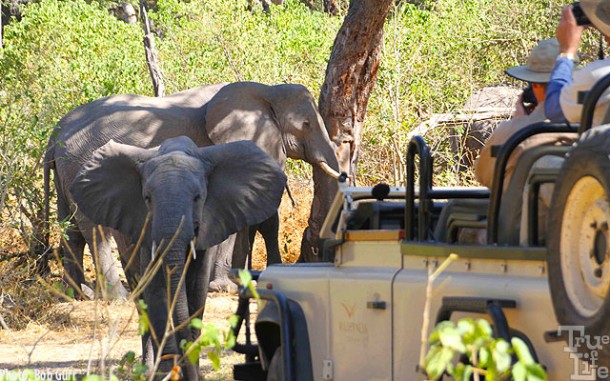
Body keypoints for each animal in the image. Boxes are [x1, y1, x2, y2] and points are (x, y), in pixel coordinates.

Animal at [46, 81, 342, 298]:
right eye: (306, 125)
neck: (266, 90)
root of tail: (55, 132)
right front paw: (225, 287)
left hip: (67, 170)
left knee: (71, 226)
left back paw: (75, 295)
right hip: (82, 162)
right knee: (95, 230)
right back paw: (118, 298)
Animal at [69, 136, 284, 378]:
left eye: (198, 198)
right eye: (147, 198)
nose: (187, 371)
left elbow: (196, 291)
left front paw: (192, 371)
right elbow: (156, 292)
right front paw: (166, 373)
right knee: (141, 298)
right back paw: (149, 369)